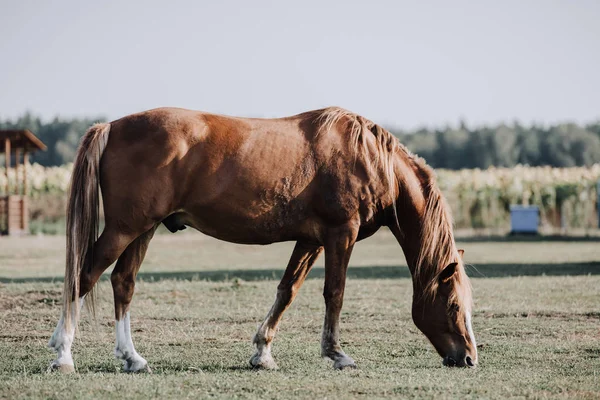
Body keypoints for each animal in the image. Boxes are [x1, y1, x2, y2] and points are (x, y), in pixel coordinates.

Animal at [47, 105, 478, 372]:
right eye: (454, 305)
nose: (469, 358)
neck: (371, 160)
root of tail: (112, 127)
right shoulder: (341, 234)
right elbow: (335, 293)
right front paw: (337, 354)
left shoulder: (310, 240)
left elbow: (287, 291)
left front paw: (262, 352)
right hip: (125, 228)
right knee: (84, 277)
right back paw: (64, 355)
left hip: (144, 229)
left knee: (123, 282)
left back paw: (132, 358)